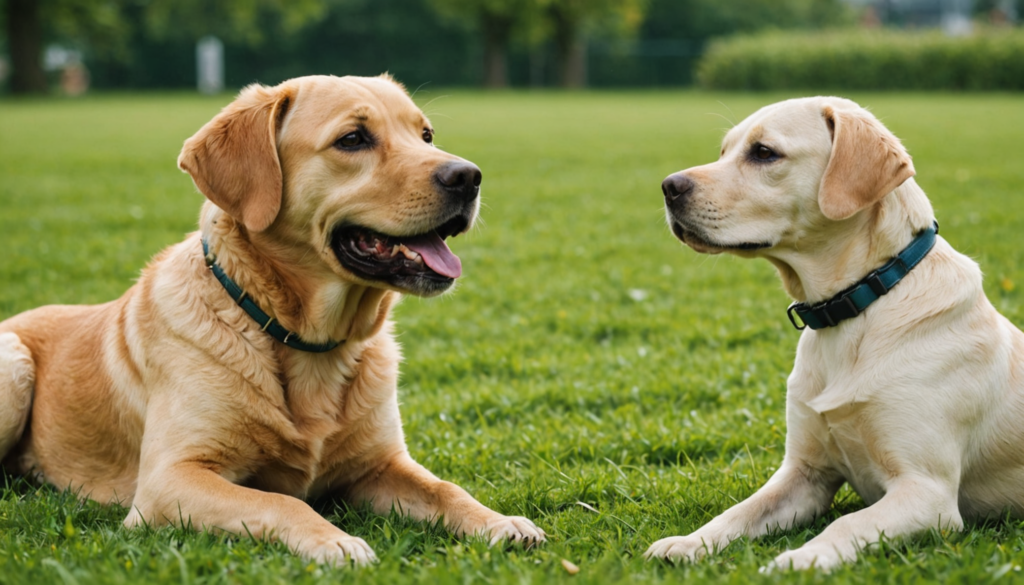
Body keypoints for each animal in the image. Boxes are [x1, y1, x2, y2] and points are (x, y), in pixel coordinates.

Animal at [0, 75, 544, 565]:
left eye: (426, 135)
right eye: (353, 139)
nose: (468, 176)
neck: (305, 340)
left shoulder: (379, 464)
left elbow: (445, 488)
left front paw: (501, 522)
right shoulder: (168, 480)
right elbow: (280, 500)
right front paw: (335, 542)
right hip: (14, 365)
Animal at [647, 97, 1024, 573]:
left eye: (764, 152)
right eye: (724, 151)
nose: (668, 186)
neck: (853, 311)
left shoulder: (927, 491)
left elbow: (847, 523)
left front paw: (796, 562)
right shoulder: (804, 474)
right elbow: (740, 510)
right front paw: (689, 543)